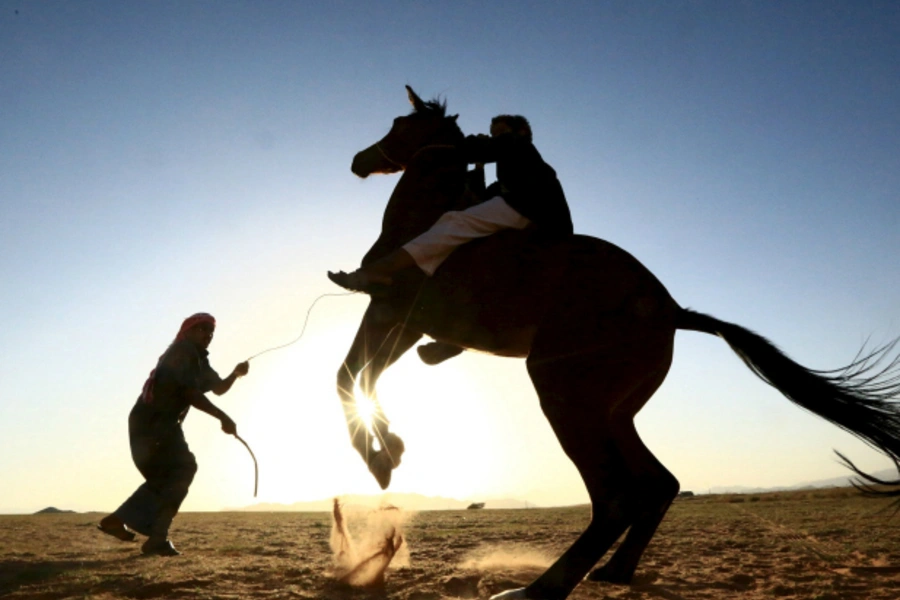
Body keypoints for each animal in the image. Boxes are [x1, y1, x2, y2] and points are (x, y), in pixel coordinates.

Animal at [336, 85, 900, 600]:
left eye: (400, 124)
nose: (360, 161)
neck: (425, 217)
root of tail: (672, 310)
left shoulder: (391, 313)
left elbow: (348, 376)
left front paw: (382, 456)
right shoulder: (403, 326)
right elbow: (359, 375)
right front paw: (391, 448)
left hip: (565, 395)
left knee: (614, 496)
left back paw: (539, 589)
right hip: (613, 411)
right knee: (659, 482)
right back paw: (614, 571)